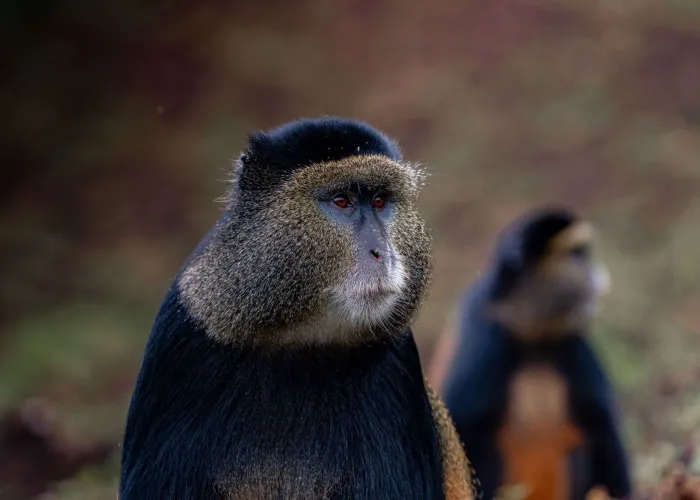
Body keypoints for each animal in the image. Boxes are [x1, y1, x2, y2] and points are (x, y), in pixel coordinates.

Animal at [118, 116, 481, 500]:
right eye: (341, 201)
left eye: (380, 201)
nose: (382, 253)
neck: (299, 335)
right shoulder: (179, 342)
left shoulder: (399, 364)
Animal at [434, 206, 631, 500]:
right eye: (577, 254)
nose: (596, 275)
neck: (531, 335)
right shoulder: (489, 337)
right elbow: (465, 421)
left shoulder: (571, 342)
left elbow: (600, 422)